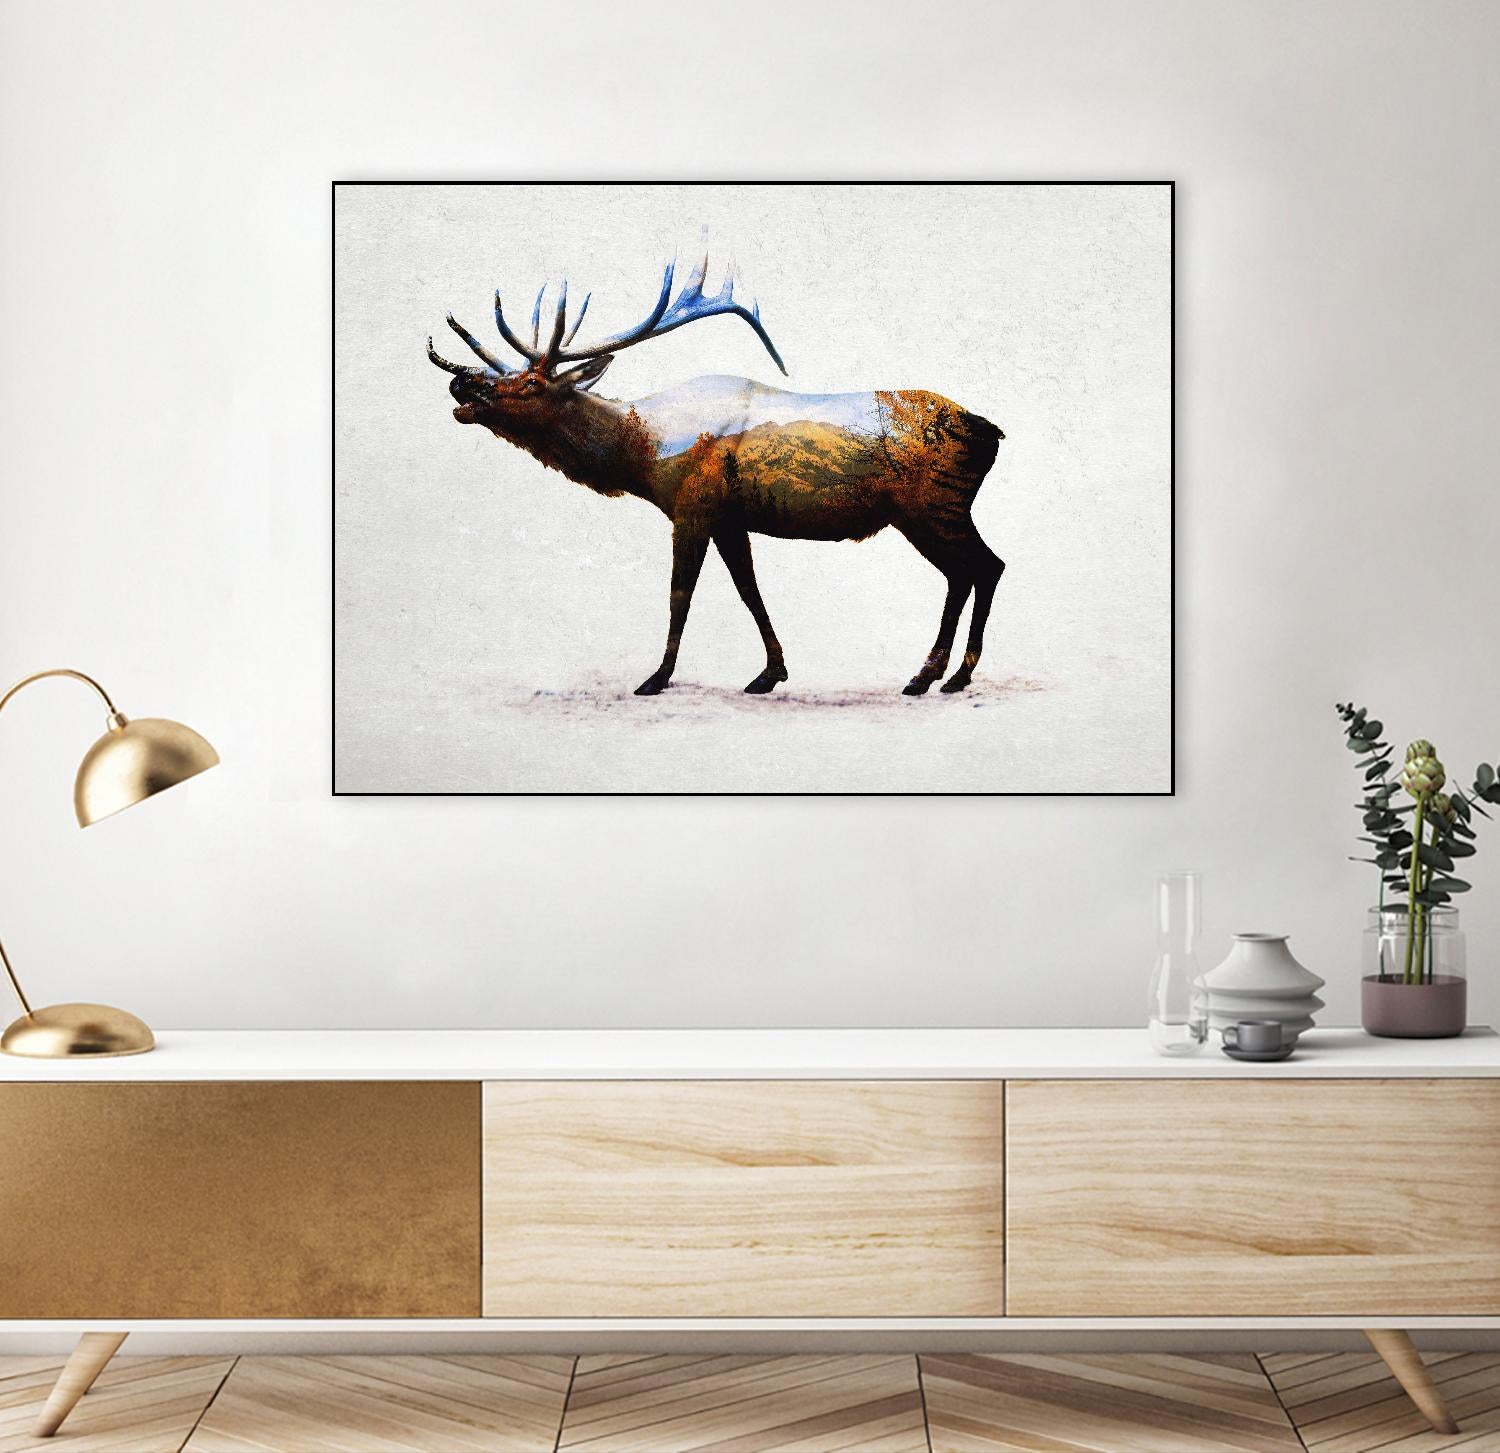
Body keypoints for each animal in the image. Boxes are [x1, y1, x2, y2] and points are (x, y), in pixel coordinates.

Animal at [427, 255, 1005, 697]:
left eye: (529, 383)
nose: (462, 383)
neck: (644, 453)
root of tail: (991, 432)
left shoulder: (692, 506)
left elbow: (680, 594)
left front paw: (656, 677)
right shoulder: (731, 519)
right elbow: (749, 589)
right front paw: (771, 673)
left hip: (931, 506)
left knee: (982, 567)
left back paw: (939, 676)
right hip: (935, 511)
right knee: (973, 570)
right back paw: (943, 676)